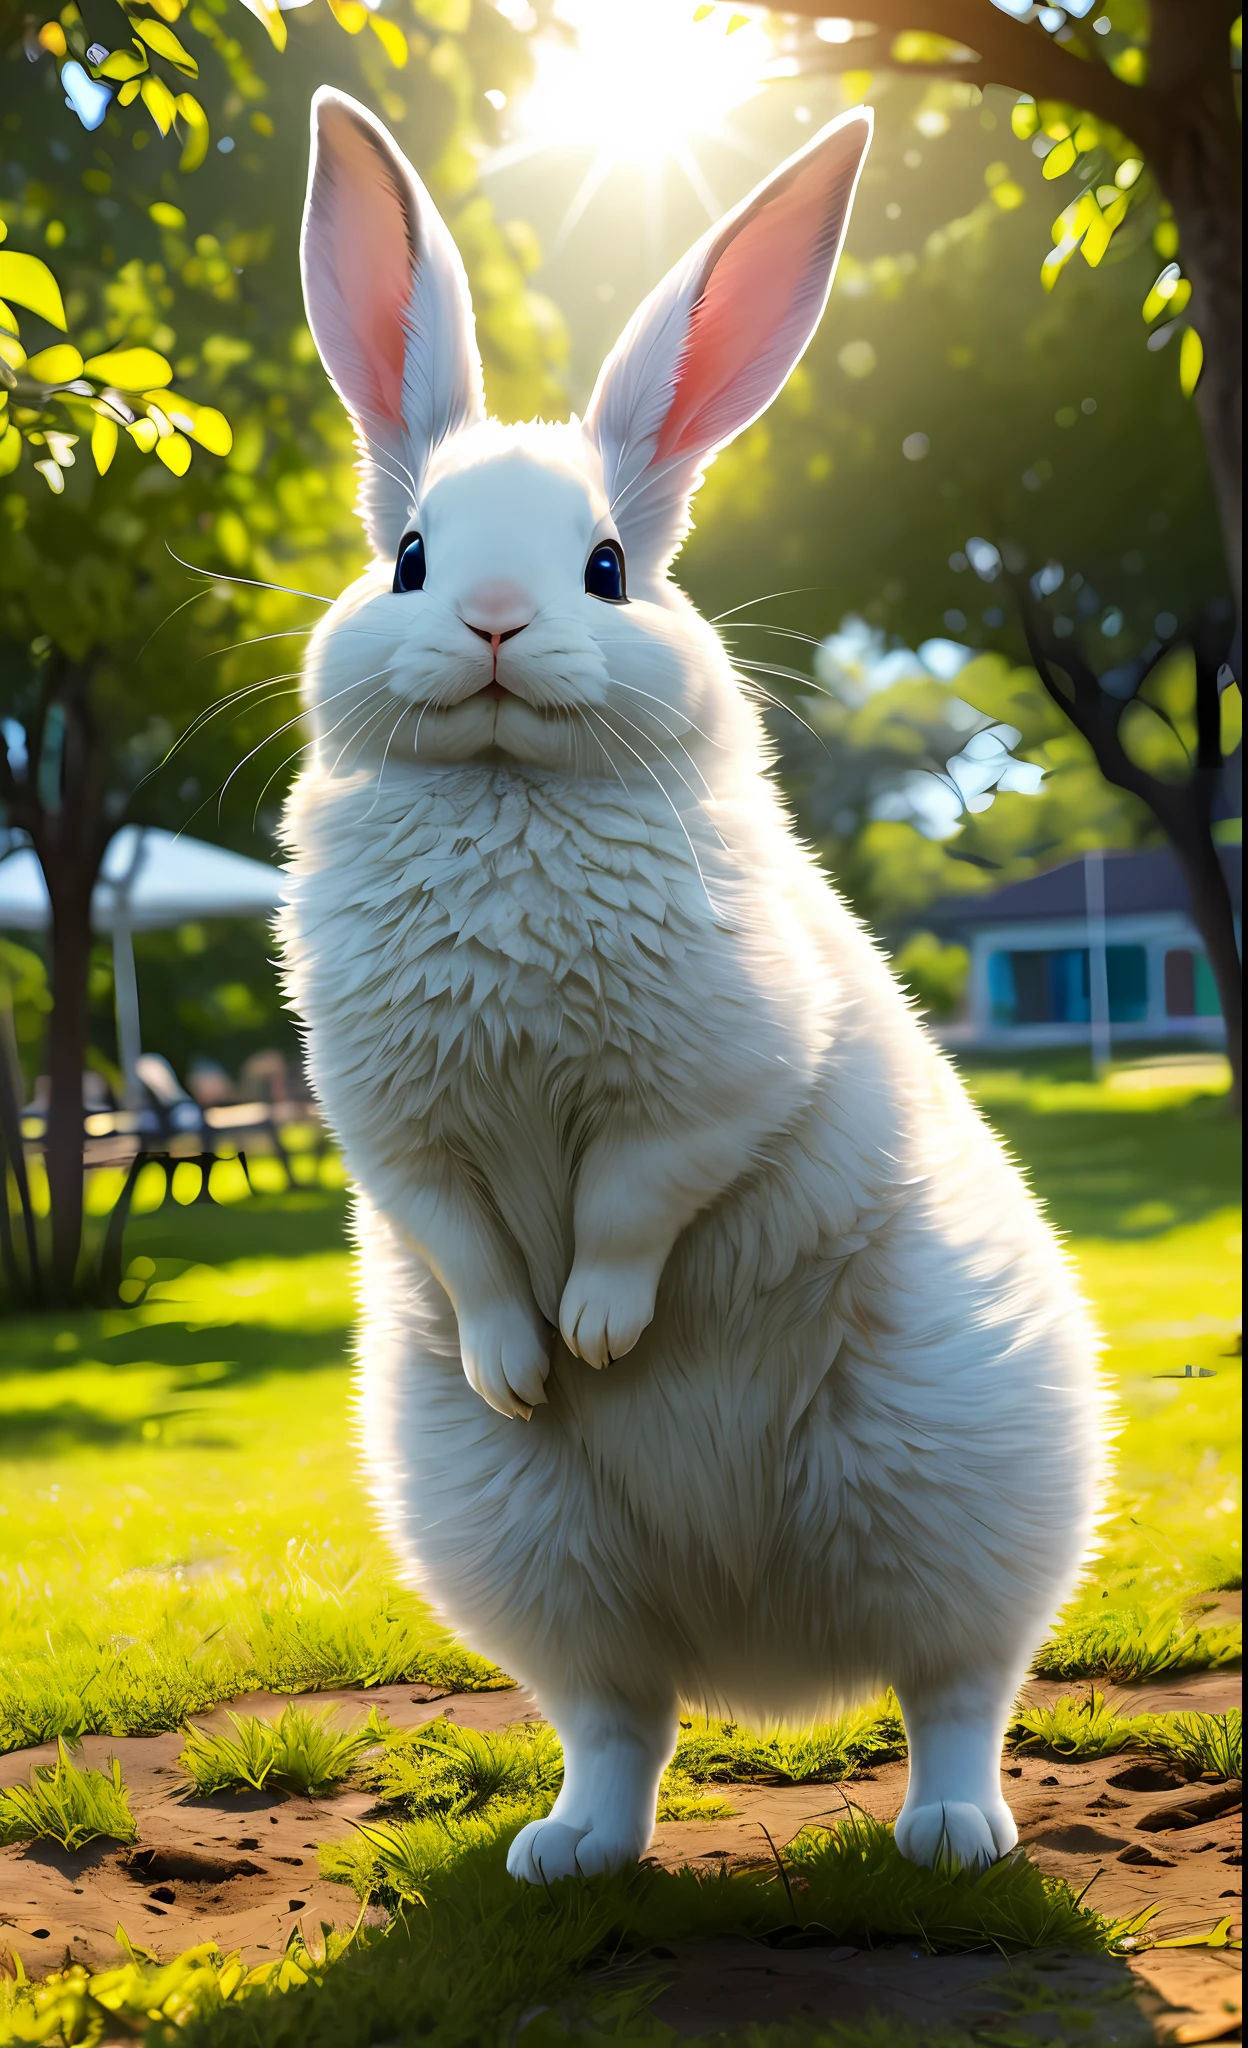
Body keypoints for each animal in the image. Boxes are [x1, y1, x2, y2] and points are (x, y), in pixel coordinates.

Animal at [280, 88, 1098, 1875]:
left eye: (604, 569)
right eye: (410, 558)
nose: (494, 619)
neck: (509, 791)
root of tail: (761, 1656)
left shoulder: (715, 1078)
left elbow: (636, 1206)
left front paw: (596, 1337)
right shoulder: (401, 1134)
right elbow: (468, 1249)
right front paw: (523, 1368)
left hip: (958, 1492)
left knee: (955, 1693)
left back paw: (952, 1837)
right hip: (528, 1553)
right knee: (620, 1724)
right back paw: (567, 1851)